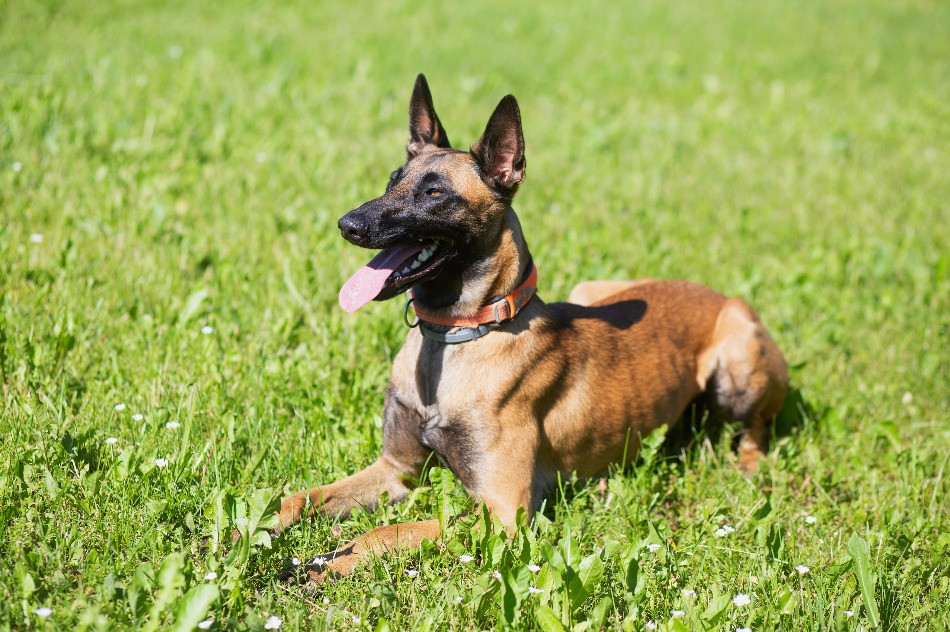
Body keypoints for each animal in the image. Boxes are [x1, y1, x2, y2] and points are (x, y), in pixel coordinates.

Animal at [278, 74, 792, 584]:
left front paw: (331, 559)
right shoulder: (395, 469)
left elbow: (396, 529)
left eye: (434, 194)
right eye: (392, 181)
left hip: (739, 363)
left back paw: (747, 468)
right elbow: (297, 498)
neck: (461, 336)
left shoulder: (503, 513)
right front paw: (266, 530)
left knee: (756, 430)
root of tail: (721, 295)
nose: (348, 225)